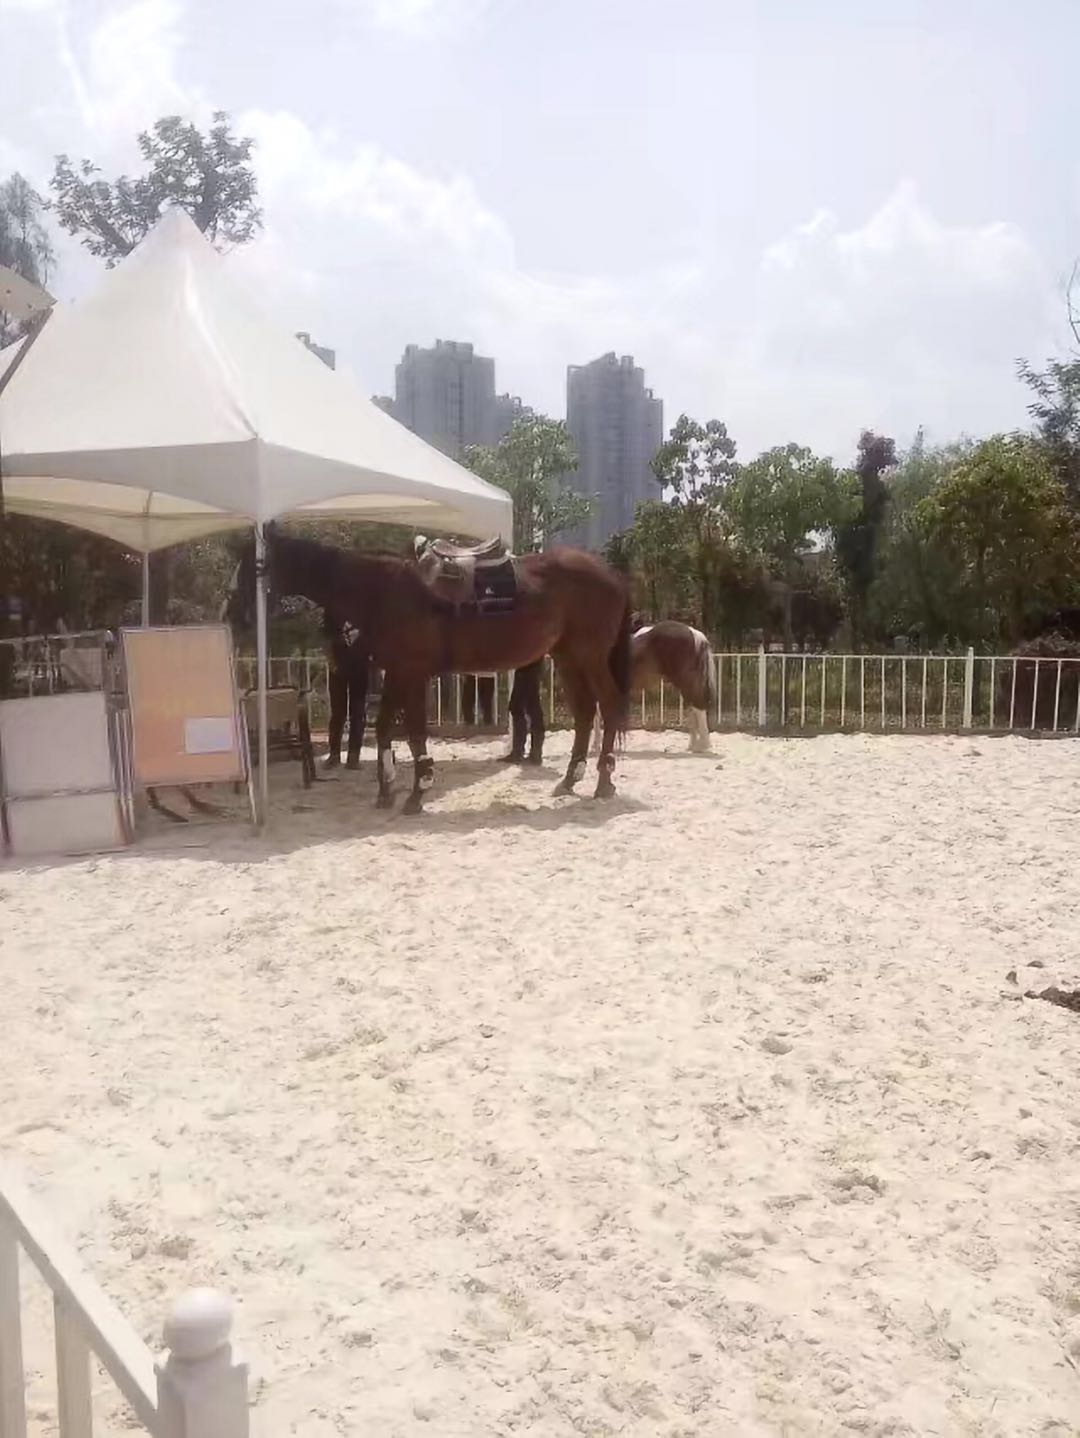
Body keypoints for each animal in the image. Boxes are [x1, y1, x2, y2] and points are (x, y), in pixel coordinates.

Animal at [229, 527, 633, 812]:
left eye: (253, 566)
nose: (234, 614)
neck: (384, 591)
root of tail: (611, 575)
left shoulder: (412, 674)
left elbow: (414, 733)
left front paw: (416, 792)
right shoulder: (396, 673)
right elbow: (386, 727)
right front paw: (387, 790)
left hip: (589, 656)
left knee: (609, 705)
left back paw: (603, 782)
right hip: (567, 658)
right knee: (585, 713)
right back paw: (570, 780)